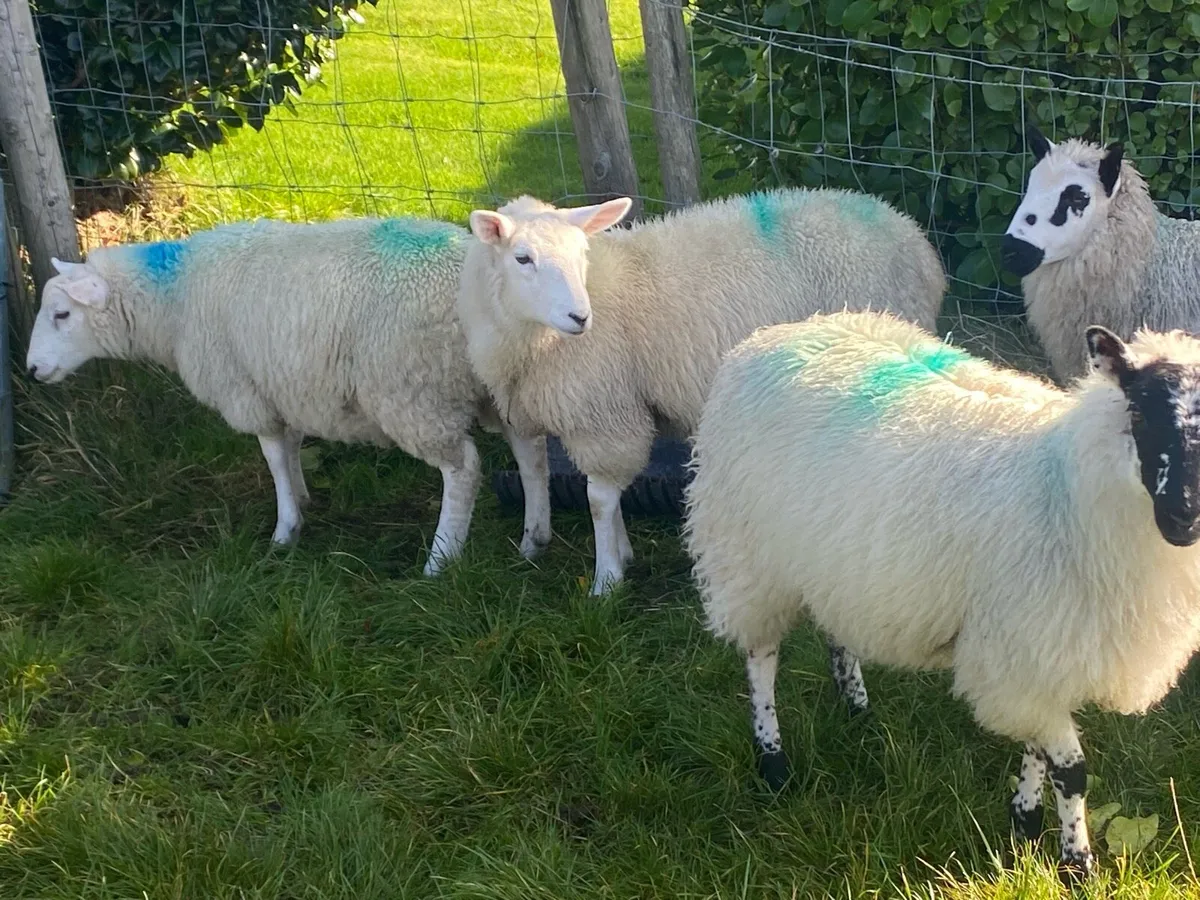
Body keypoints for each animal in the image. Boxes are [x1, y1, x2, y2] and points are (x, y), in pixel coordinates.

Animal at [25, 216, 552, 575]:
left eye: (62, 315)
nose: (31, 370)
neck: (174, 298)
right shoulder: (285, 384)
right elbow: (293, 447)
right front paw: (302, 499)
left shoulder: (247, 390)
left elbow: (274, 457)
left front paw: (284, 531)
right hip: (500, 384)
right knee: (531, 455)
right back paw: (534, 540)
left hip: (415, 391)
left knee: (463, 469)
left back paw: (441, 559)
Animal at [457, 189, 947, 595]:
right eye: (522, 258)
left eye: (582, 254)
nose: (580, 317)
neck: (527, 340)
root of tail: (912, 235)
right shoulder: (532, 410)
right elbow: (538, 475)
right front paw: (545, 546)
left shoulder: (606, 413)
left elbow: (598, 500)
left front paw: (606, 579)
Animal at [683, 308, 1200, 880]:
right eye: (1140, 415)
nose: (1182, 517)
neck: (1063, 486)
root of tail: (782, 332)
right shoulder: (1022, 647)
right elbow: (1072, 771)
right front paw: (1077, 866)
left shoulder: (1038, 649)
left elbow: (1040, 752)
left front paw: (1025, 820)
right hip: (748, 555)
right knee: (760, 657)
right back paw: (773, 760)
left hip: (835, 558)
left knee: (836, 629)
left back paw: (856, 708)